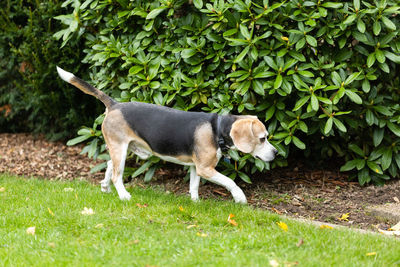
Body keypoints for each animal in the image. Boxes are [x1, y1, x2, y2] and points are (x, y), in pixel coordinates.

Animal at [56, 66, 276, 203]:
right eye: (262, 138)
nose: (276, 153)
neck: (217, 128)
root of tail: (115, 104)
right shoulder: (205, 169)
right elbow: (231, 181)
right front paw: (240, 198)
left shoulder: (195, 167)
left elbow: (194, 186)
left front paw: (196, 202)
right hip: (121, 148)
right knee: (118, 174)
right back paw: (123, 195)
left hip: (123, 149)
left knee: (110, 165)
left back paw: (105, 187)